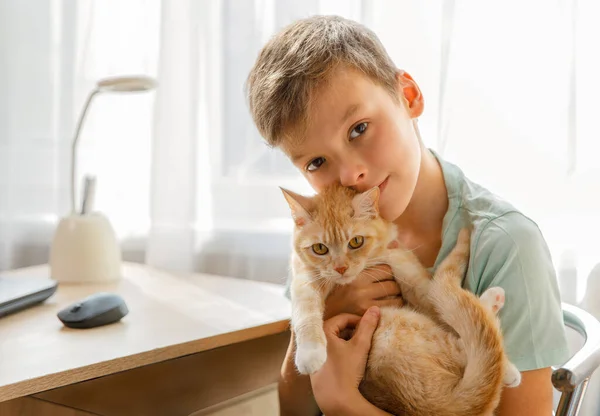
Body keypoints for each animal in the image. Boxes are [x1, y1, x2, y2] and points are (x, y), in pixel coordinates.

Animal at [282, 184, 520, 416]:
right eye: (320, 248)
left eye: (356, 241)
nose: (341, 268)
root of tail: (443, 407)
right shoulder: (303, 280)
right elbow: (305, 313)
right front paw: (310, 353)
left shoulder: (408, 271)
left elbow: (439, 303)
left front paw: (506, 367)